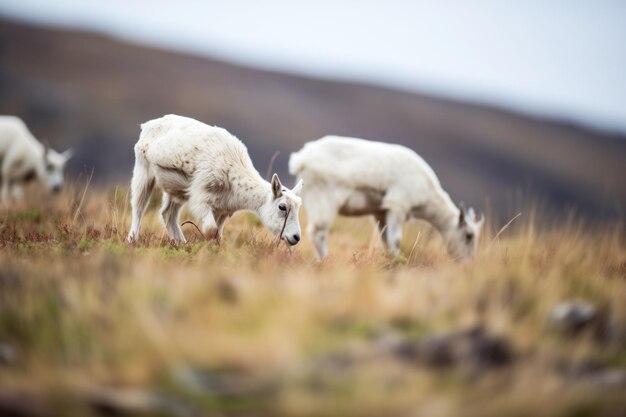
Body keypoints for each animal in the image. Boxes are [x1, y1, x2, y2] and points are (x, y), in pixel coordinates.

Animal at [127, 114, 302, 244]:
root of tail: (146, 125)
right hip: (143, 172)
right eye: (282, 207)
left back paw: (181, 243)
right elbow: (211, 229)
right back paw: (133, 239)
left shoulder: (222, 209)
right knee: (139, 207)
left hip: (176, 190)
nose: (296, 237)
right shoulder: (201, 198)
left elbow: (218, 234)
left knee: (167, 214)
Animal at [288, 136, 482, 260]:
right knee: (318, 232)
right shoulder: (397, 206)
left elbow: (386, 240)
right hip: (323, 200)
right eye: (469, 235)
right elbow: (395, 239)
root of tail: (301, 158)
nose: (468, 264)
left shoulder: (381, 213)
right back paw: (323, 261)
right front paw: (396, 261)